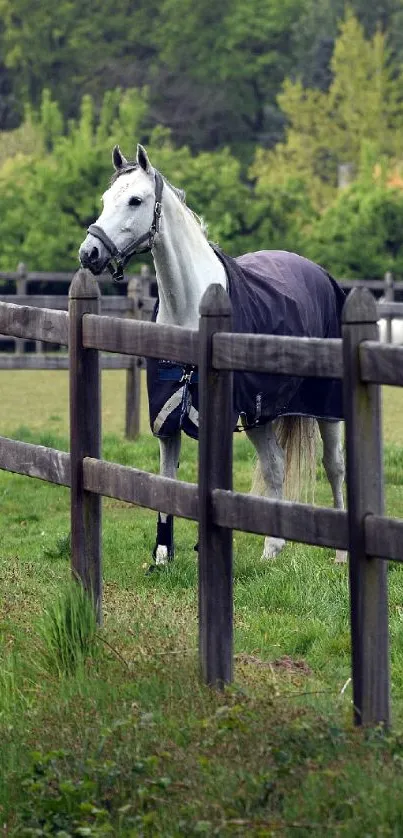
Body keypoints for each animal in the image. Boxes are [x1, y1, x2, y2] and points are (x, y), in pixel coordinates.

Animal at [79, 149, 348, 572]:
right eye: (106, 200)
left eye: (135, 200)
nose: (89, 253)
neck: (190, 306)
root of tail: (319, 273)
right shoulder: (167, 417)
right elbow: (166, 481)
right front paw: (162, 555)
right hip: (259, 414)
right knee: (275, 464)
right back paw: (272, 549)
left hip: (326, 407)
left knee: (333, 465)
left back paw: (340, 553)